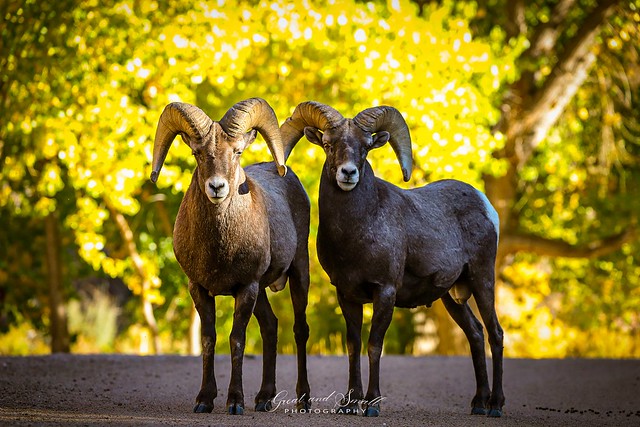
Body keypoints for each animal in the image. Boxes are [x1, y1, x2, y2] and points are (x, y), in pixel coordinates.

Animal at [150, 98, 310, 414]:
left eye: (237, 152)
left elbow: (237, 339)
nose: (216, 187)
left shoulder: (245, 288)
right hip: (262, 292)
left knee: (300, 329)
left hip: (299, 273)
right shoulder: (199, 288)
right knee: (270, 326)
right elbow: (208, 339)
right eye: (197, 153)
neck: (219, 248)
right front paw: (204, 400)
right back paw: (264, 399)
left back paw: (304, 400)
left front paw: (235, 401)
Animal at [280, 103, 504, 418]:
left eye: (366, 147)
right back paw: (478, 404)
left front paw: (372, 405)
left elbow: (374, 345)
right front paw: (349, 404)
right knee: (475, 334)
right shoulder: (346, 295)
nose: (348, 173)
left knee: (495, 334)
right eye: (328, 144)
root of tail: (486, 206)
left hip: (483, 280)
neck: (357, 231)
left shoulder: (385, 291)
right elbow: (353, 345)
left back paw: (495, 405)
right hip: (452, 296)